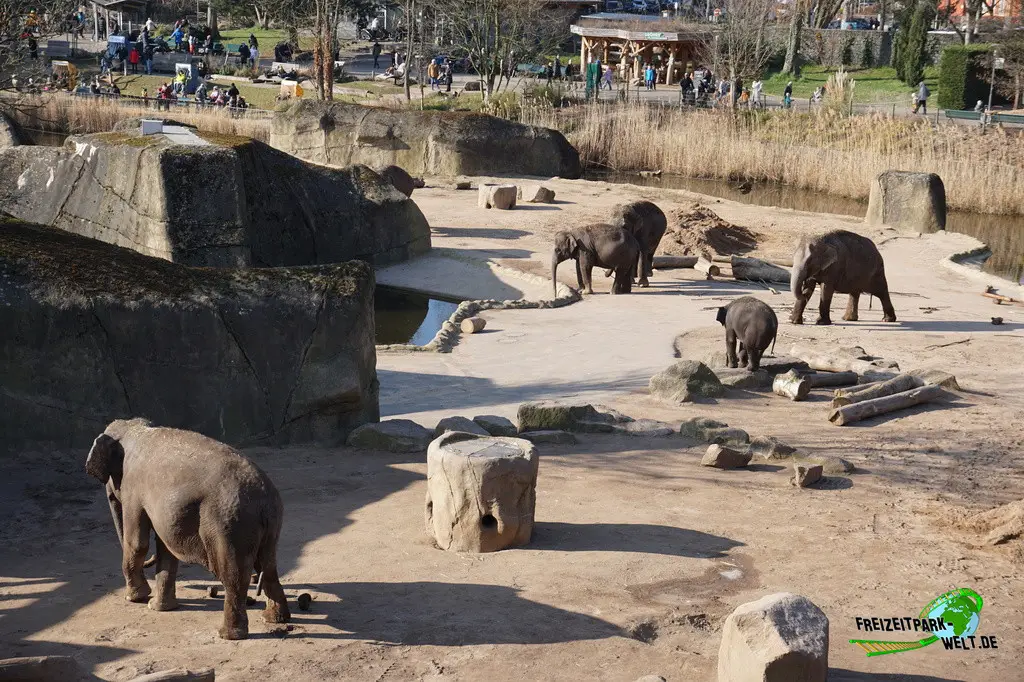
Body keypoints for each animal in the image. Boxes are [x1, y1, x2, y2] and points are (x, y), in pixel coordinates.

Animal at [85, 418, 289, 640]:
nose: (111, 495)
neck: (135, 429)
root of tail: (263, 498)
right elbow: (165, 550)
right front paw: (157, 606)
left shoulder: (133, 489)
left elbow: (138, 543)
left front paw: (136, 598)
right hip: (268, 523)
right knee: (268, 565)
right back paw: (274, 618)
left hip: (229, 524)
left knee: (234, 576)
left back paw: (227, 634)